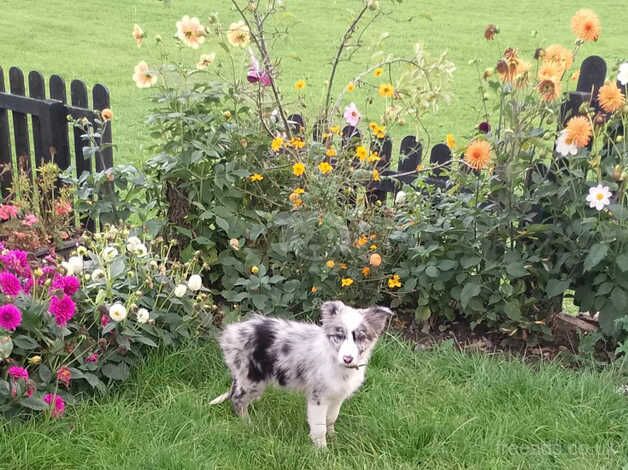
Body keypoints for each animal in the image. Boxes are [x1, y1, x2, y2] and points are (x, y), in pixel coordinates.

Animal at [209, 302, 390, 448]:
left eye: (361, 337)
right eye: (339, 336)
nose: (348, 359)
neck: (336, 362)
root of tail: (231, 332)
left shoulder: (337, 396)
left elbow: (331, 418)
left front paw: (334, 437)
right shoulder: (318, 397)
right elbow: (319, 427)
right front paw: (322, 451)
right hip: (251, 377)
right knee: (237, 400)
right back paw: (248, 424)